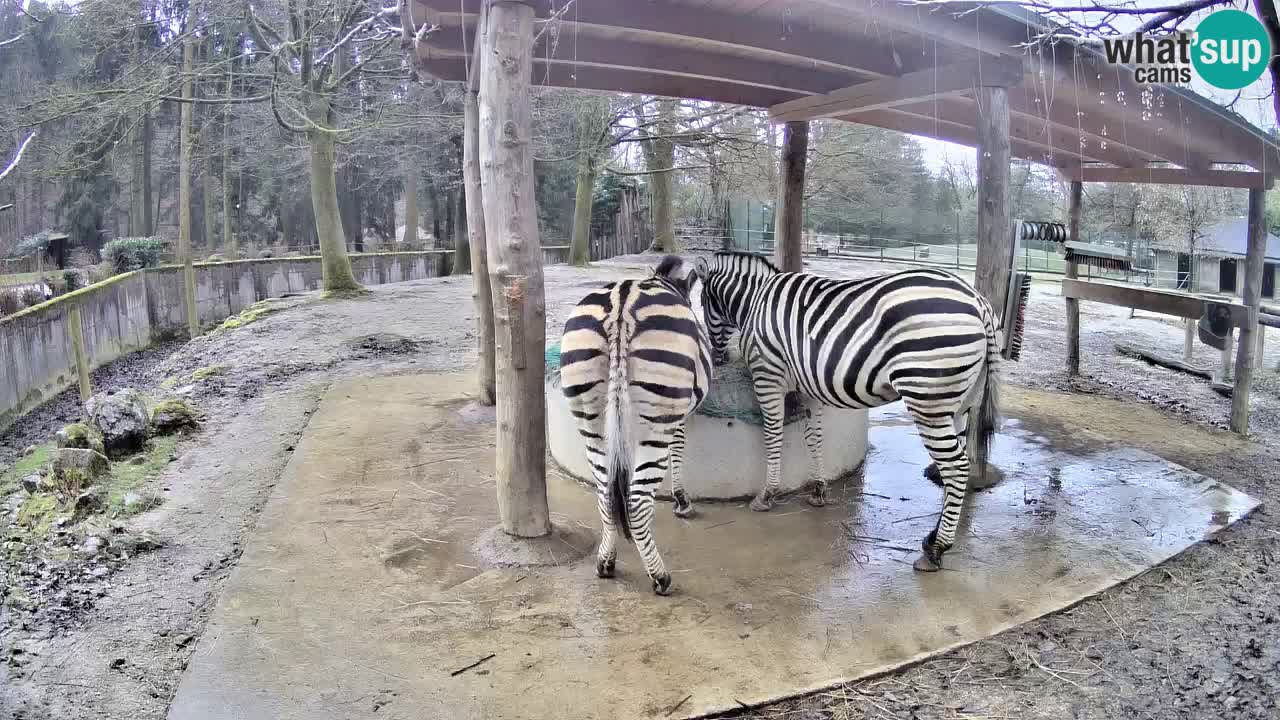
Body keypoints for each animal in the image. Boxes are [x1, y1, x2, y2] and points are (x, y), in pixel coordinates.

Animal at [560, 254, 716, 591]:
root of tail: (620, 308)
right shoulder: (676, 417)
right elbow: (677, 450)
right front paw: (682, 501)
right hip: (656, 419)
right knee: (637, 502)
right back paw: (660, 577)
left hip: (591, 418)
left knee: (605, 493)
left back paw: (606, 562)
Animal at [696, 249, 1003, 568]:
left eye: (703, 303)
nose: (717, 359)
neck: (756, 299)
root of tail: (977, 301)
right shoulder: (808, 386)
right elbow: (814, 438)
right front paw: (818, 490)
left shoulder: (766, 374)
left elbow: (773, 436)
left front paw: (766, 495)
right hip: (961, 402)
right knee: (956, 465)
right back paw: (934, 537)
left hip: (927, 398)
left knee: (956, 467)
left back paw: (936, 550)